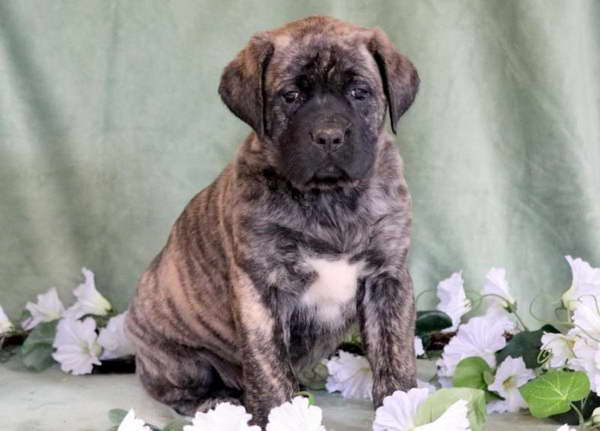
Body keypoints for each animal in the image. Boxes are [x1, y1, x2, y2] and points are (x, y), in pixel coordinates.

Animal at [125, 15, 420, 426]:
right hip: (179, 360)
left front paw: (404, 408)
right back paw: (216, 403)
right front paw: (282, 416)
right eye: (290, 96)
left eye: (359, 92)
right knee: (180, 390)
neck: (329, 198)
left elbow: (394, 352)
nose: (329, 136)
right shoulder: (261, 286)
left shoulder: (386, 278)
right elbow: (268, 366)